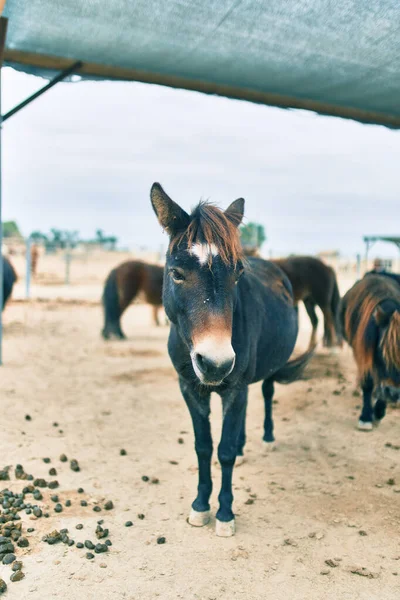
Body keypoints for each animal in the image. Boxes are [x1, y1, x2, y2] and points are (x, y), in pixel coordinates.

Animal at [340, 274, 400, 428]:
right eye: (382, 350)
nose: (394, 393)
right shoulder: (363, 354)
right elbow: (368, 382)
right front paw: (366, 416)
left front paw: (379, 411)